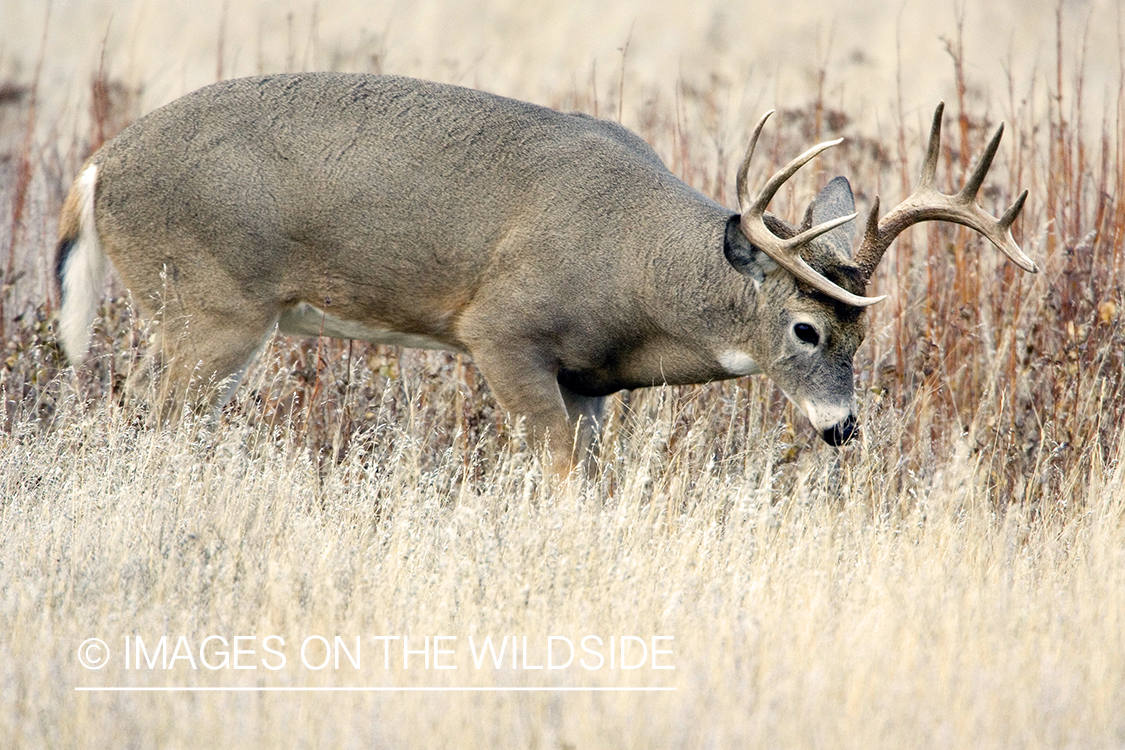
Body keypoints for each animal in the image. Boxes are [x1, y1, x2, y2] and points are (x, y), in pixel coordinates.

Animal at [54, 74, 1035, 474]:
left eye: (864, 329)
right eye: (805, 328)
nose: (841, 430)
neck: (636, 271)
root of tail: (97, 168)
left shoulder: (590, 383)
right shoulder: (500, 331)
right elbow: (558, 472)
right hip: (210, 305)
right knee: (146, 418)